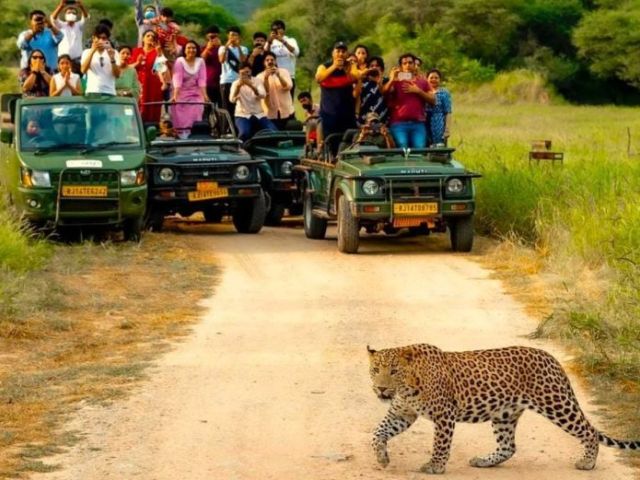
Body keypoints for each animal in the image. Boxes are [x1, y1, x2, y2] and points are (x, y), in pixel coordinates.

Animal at [368, 343, 639, 474]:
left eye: (394, 371)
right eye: (375, 370)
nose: (381, 389)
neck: (407, 387)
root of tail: (552, 358)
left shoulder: (445, 415)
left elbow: (440, 444)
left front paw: (435, 466)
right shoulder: (401, 413)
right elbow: (378, 433)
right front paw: (382, 457)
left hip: (557, 404)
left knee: (589, 431)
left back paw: (587, 463)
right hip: (505, 414)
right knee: (509, 446)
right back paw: (484, 461)